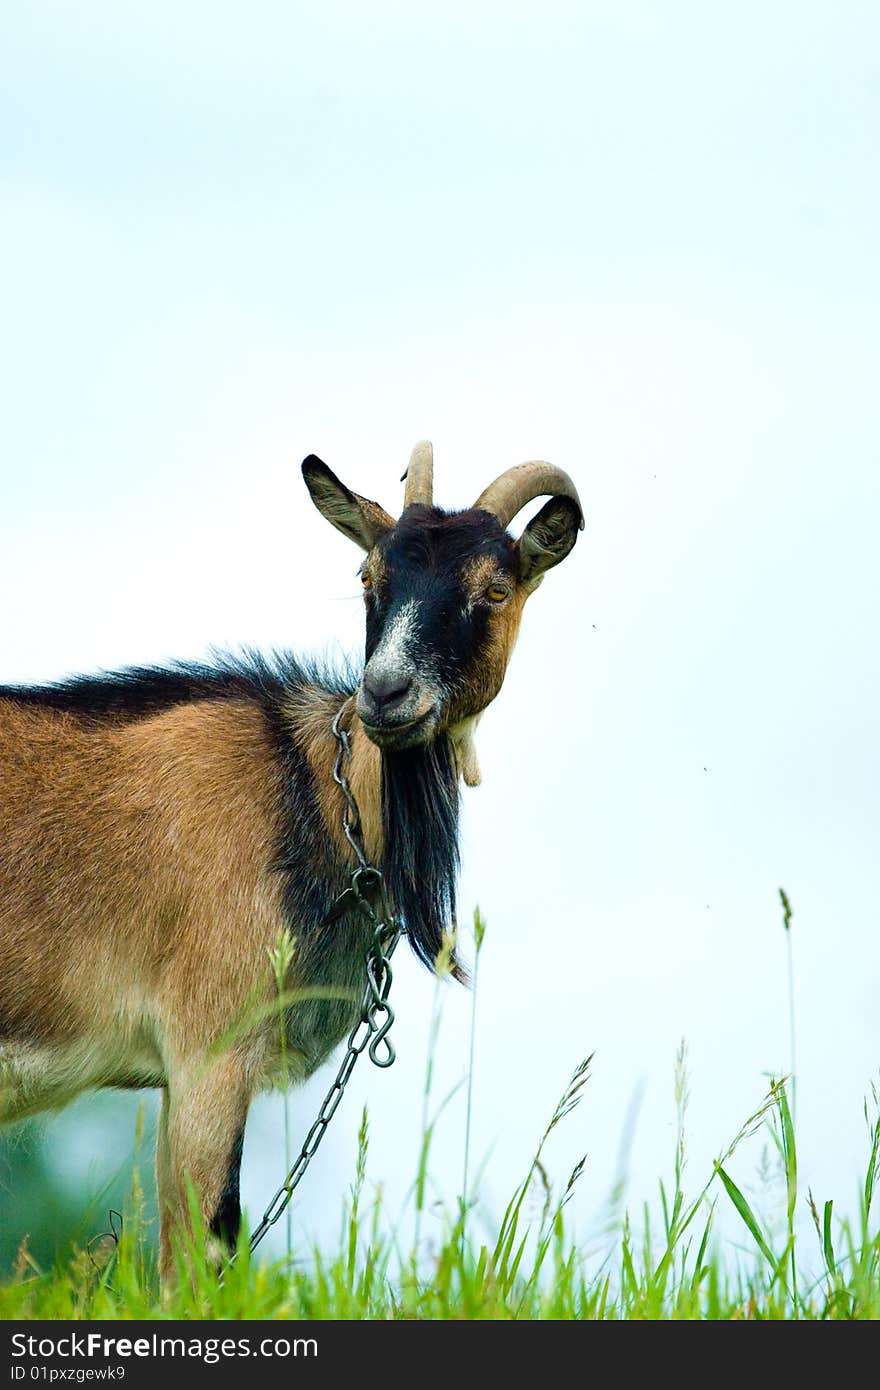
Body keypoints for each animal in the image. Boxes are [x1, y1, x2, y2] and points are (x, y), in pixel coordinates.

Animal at [1, 444, 583, 1278]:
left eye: (495, 588)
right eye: (369, 577)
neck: (309, 793)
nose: (387, 694)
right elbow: (201, 1259)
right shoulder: (209, 1048)